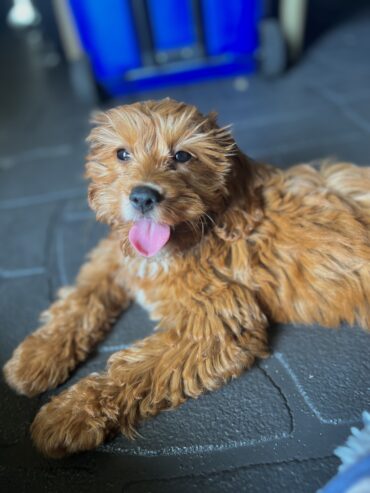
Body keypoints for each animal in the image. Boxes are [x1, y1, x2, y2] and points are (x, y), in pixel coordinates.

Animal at [2, 98, 370, 456]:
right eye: (122, 154)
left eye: (182, 156)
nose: (143, 196)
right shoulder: (113, 256)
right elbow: (82, 298)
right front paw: (39, 354)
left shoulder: (217, 319)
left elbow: (138, 368)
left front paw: (70, 412)